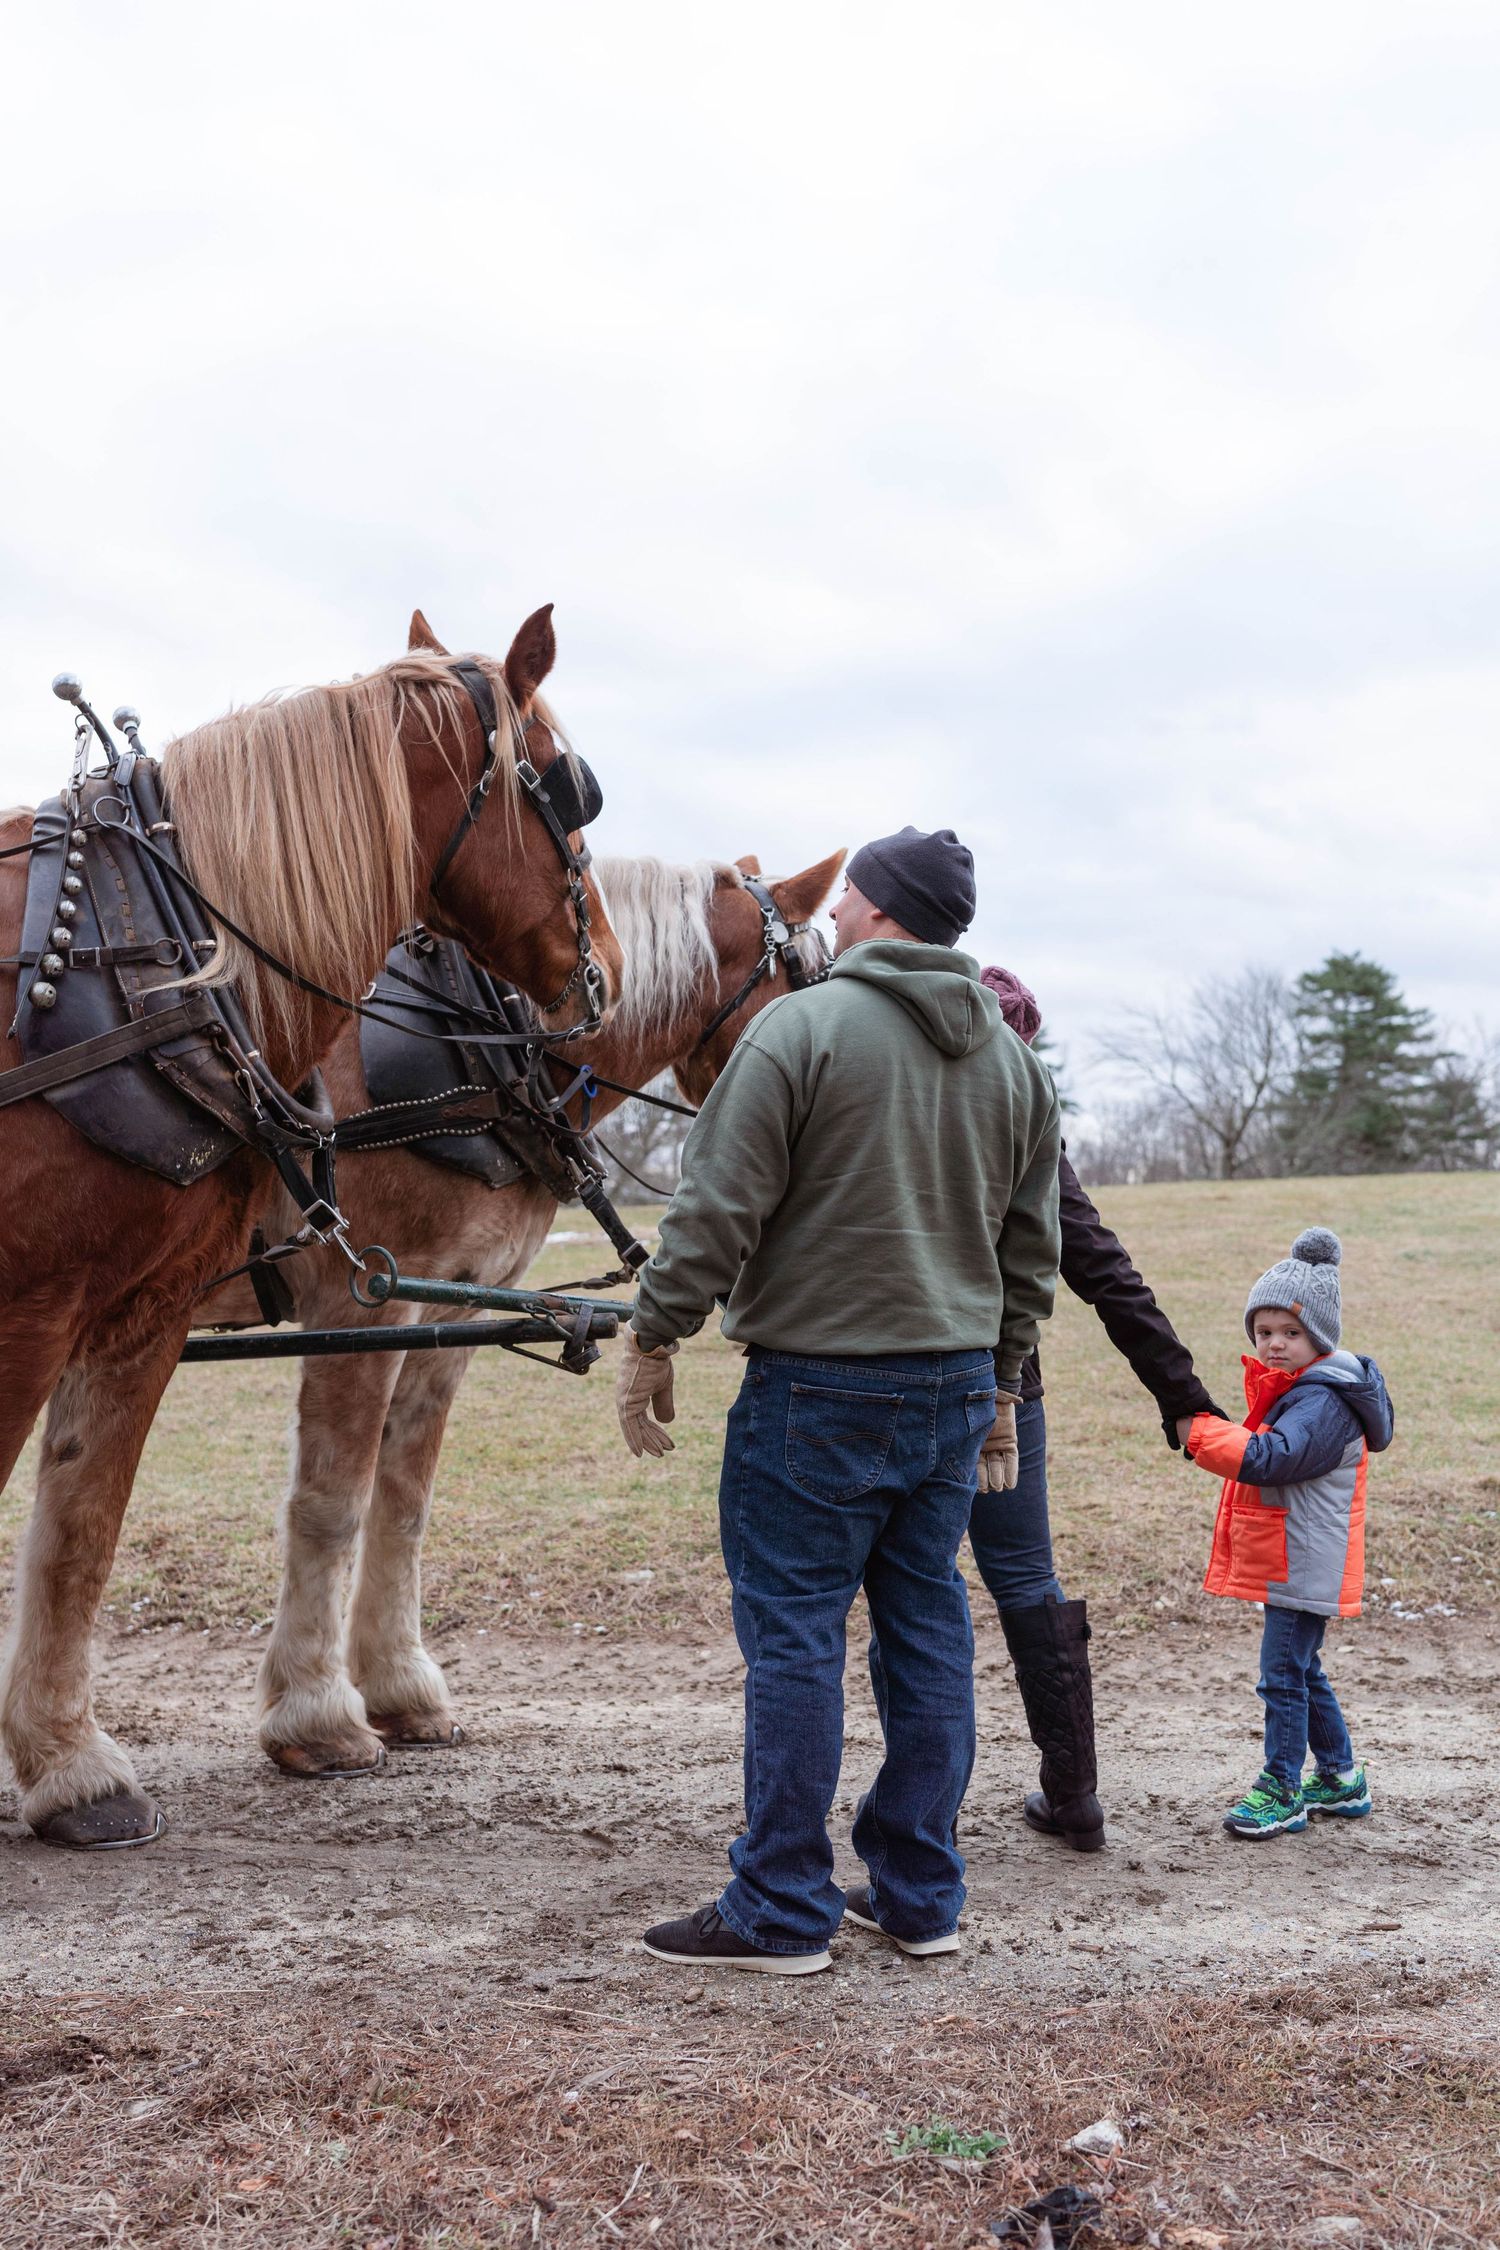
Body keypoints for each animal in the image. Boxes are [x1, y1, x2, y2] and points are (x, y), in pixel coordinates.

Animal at [0, 607, 624, 1848]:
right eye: (572, 786)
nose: (605, 976)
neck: (150, 967)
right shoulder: (34, 1306)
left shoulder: (136, 1313)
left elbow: (82, 1524)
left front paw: (69, 1765)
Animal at [197, 845, 845, 1779]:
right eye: (813, 979)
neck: (488, 1046)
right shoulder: (364, 1307)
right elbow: (332, 1503)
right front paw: (316, 1714)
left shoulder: (451, 1315)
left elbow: (404, 1499)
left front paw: (400, 1688)